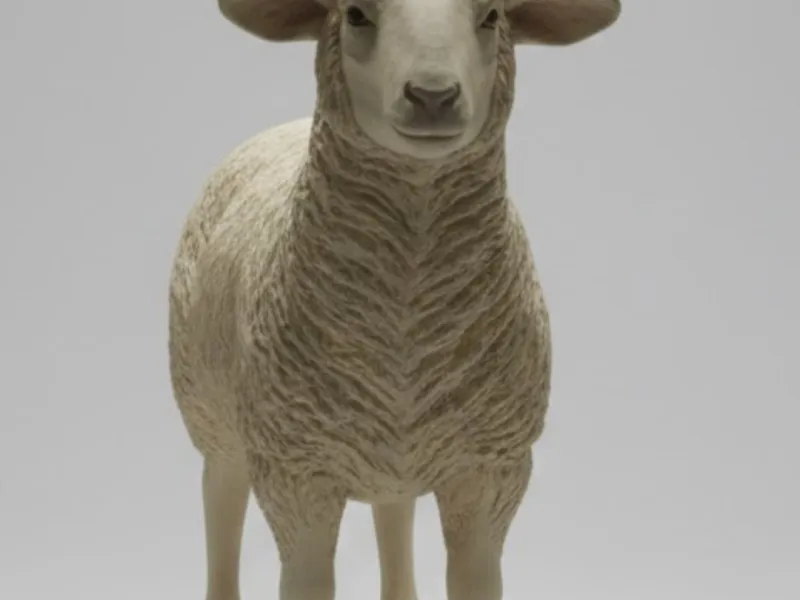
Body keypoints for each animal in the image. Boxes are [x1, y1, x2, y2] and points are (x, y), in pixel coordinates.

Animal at [167, 1, 621, 600]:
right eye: (355, 15)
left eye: (492, 16)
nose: (433, 95)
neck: (406, 311)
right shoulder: (296, 470)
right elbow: (306, 578)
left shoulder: (492, 467)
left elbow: (475, 576)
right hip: (212, 413)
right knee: (219, 501)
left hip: (390, 455)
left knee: (394, 515)